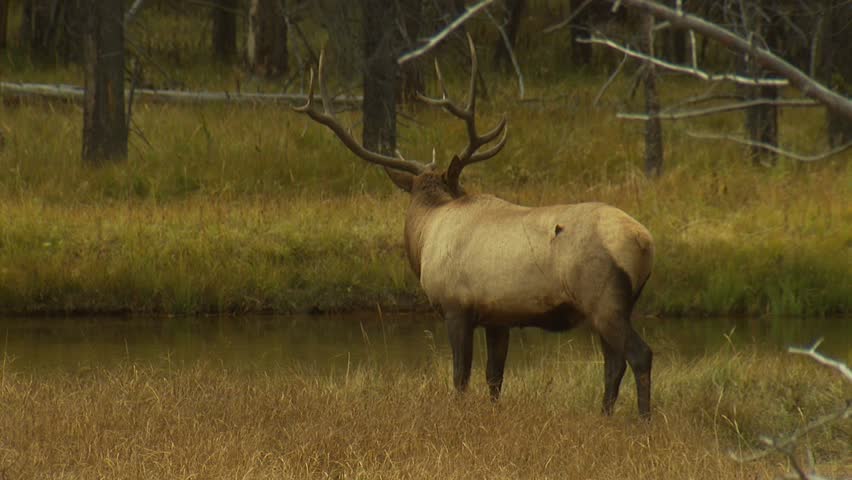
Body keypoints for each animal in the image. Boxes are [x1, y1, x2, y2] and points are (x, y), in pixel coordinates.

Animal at [295, 36, 655, 418]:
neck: (425, 237)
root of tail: (644, 241)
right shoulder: (499, 318)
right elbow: (494, 378)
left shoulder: (456, 307)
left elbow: (460, 378)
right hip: (620, 302)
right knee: (614, 362)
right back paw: (605, 414)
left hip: (603, 298)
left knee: (638, 355)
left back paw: (643, 419)